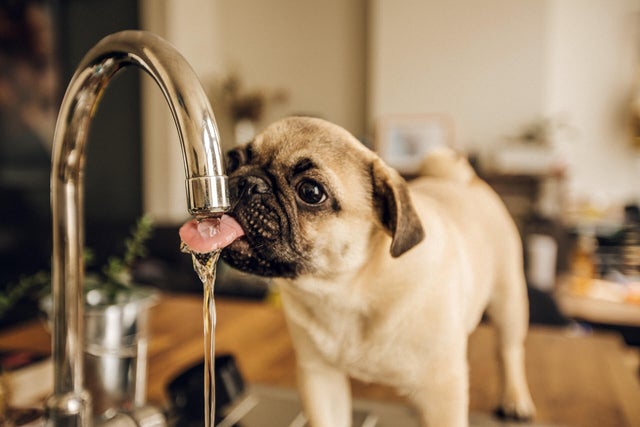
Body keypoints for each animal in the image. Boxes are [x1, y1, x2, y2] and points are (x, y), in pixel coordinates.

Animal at [180, 117, 536, 427]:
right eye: (230, 161)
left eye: (311, 192)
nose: (246, 181)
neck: (346, 290)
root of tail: (462, 180)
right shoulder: (321, 378)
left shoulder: (442, 391)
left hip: (509, 300)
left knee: (509, 350)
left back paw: (516, 399)